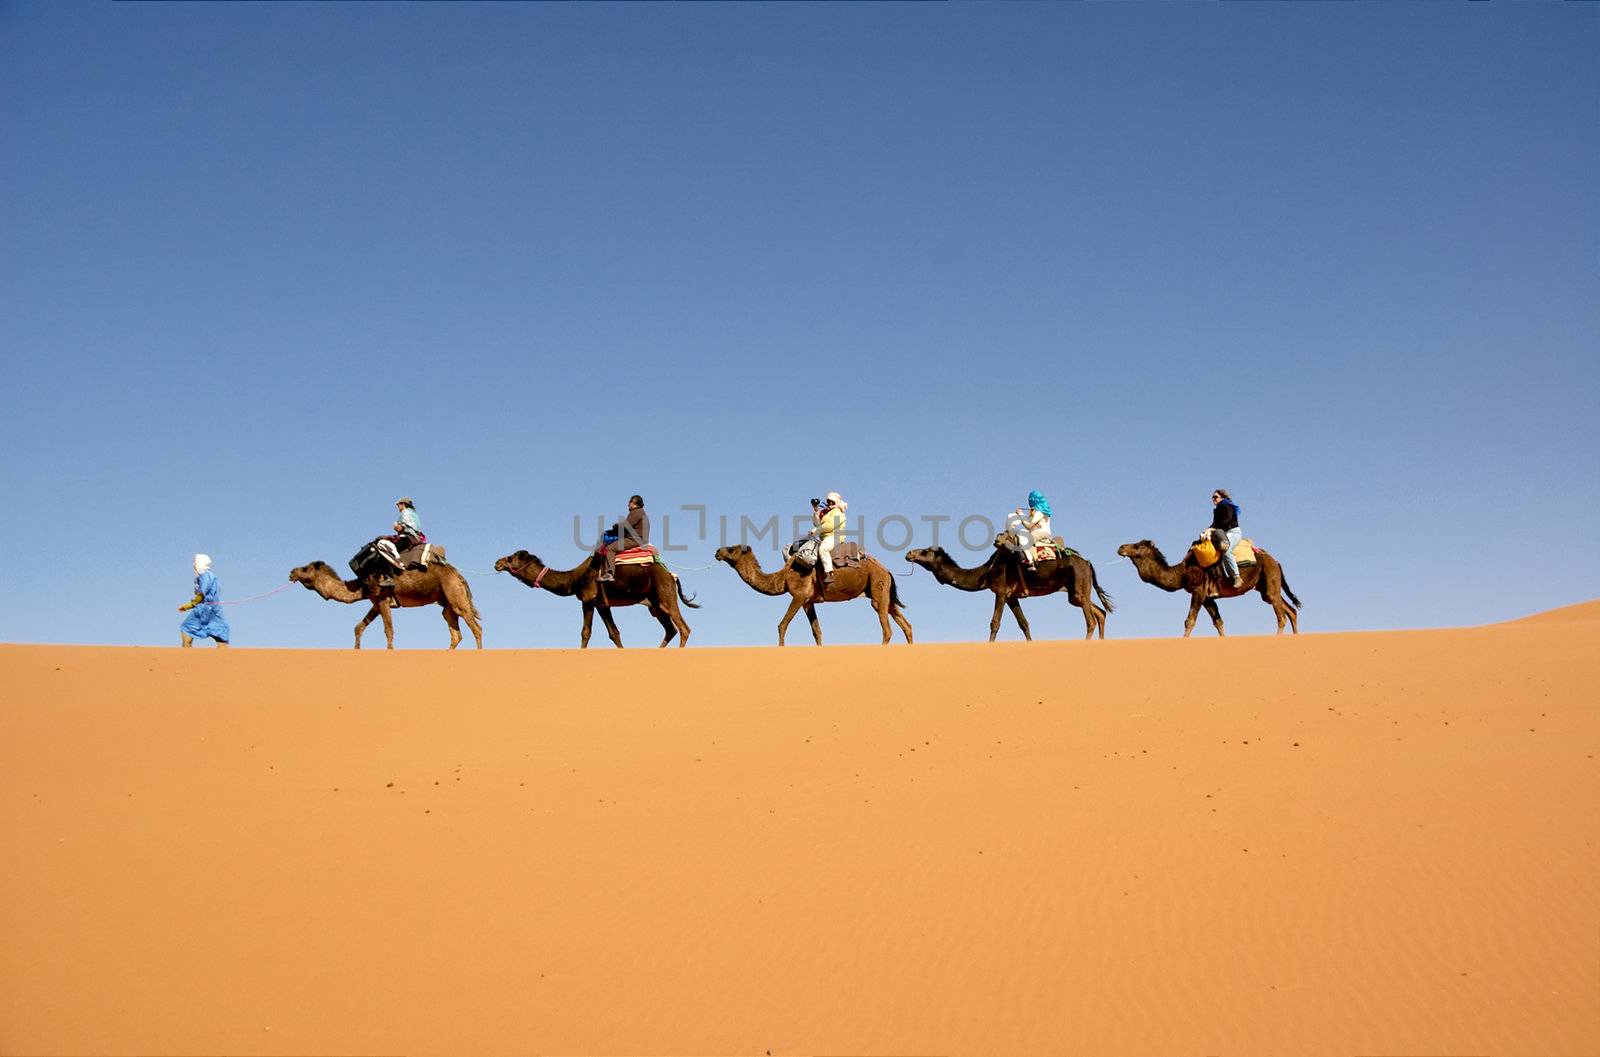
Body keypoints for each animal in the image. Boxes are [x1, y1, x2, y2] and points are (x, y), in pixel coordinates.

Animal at [289, 556, 480, 646]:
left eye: (305, 569)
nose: (291, 572)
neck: (362, 585)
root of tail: (458, 575)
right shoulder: (375, 603)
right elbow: (358, 628)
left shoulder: (382, 600)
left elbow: (388, 630)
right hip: (447, 603)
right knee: (455, 634)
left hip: (455, 595)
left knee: (475, 627)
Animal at [492, 546, 700, 646]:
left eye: (511, 557)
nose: (497, 563)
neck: (575, 578)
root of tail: (671, 574)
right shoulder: (602, 604)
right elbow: (614, 633)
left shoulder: (587, 599)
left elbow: (585, 632)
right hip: (654, 605)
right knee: (670, 630)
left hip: (665, 595)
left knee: (683, 628)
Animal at [716, 543, 915, 642]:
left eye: (731, 549)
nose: (717, 552)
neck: (783, 577)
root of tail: (887, 570)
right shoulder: (808, 602)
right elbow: (817, 631)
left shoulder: (799, 595)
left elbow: (782, 625)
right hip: (885, 593)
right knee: (906, 625)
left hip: (877, 587)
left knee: (887, 629)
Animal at [902, 546, 1113, 639]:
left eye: (925, 551)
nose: (909, 554)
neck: (986, 572)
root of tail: (1087, 563)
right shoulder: (1012, 597)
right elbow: (1024, 624)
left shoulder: (1001, 591)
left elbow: (994, 623)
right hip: (1075, 591)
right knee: (1100, 612)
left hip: (1078, 585)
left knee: (1090, 619)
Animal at [1113, 537, 1299, 636]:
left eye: (1137, 546)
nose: (1121, 547)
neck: (1182, 572)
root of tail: (1276, 562)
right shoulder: (1208, 598)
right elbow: (1218, 622)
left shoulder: (1198, 591)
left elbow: (1189, 621)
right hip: (1265, 587)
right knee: (1290, 610)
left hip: (1270, 577)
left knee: (1281, 616)